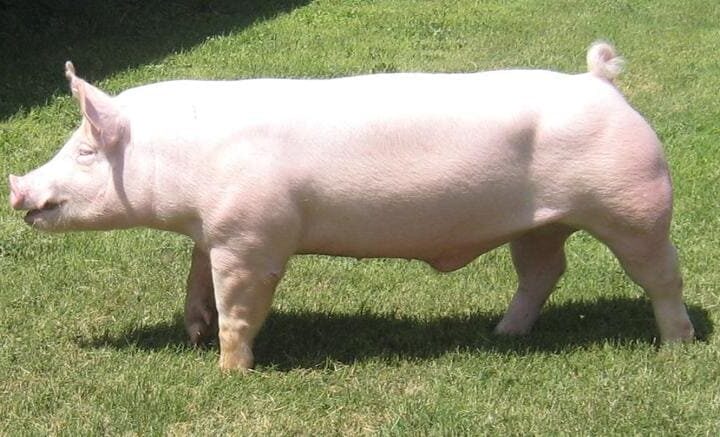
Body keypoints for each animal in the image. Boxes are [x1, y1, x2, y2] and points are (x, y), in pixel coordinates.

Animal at [8, 42, 695, 371]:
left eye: (84, 150)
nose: (16, 188)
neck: (182, 157)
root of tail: (601, 83)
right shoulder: (214, 228)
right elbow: (195, 279)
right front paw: (195, 334)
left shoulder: (253, 235)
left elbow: (239, 303)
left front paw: (230, 370)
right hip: (543, 222)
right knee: (545, 271)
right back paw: (501, 334)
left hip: (634, 203)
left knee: (662, 275)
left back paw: (676, 347)